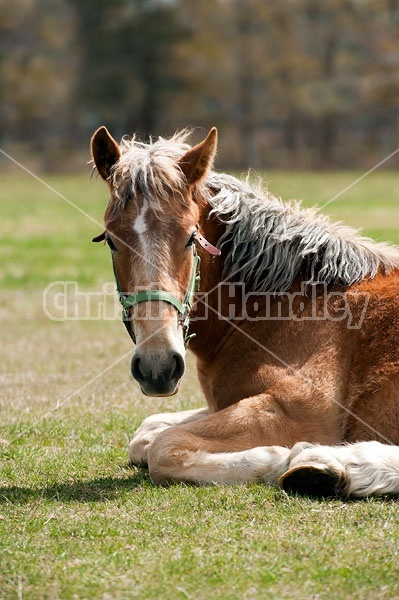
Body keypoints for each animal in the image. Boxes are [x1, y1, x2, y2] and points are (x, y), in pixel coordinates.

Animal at [90, 125, 399, 496]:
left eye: (190, 238)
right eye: (111, 240)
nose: (158, 366)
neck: (285, 303)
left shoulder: (297, 410)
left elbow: (164, 447)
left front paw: (280, 458)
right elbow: (147, 432)